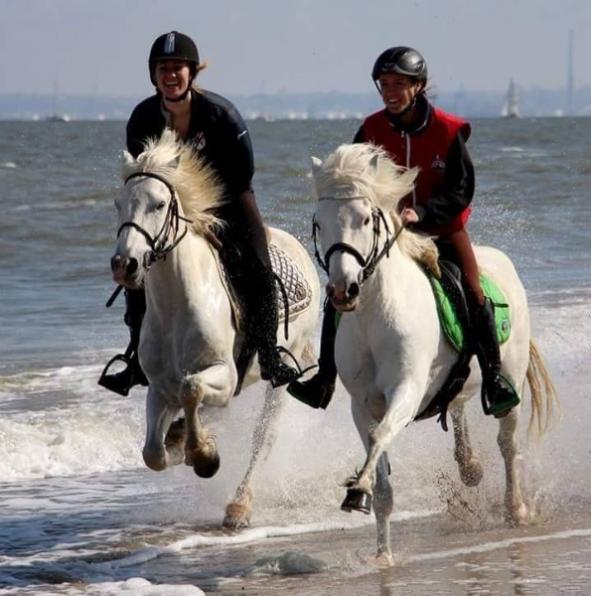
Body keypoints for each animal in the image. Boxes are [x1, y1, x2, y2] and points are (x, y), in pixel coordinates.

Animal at [108, 130, 322, 528]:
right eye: (118, 203)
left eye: (159, 204)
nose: (124, 264)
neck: (177, 304)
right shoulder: (158, 387)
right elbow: (153, 453)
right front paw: (183, 444)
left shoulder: (223, 371)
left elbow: (192, 390)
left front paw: (205, 455)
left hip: (283, 373)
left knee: (263, 437)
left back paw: (239, 505)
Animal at [310, 142, 560, 564]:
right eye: (319, 222)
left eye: (365, 219)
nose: (343, 290)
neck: (375, 314)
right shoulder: (362, 404)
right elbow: (380, 468)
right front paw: (382, 555)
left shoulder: (407, 391)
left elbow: (382, 437)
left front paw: (357, 490)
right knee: (457, 405)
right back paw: (470, 467)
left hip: (510, 379)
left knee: (508, 444)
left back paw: (516, 510)